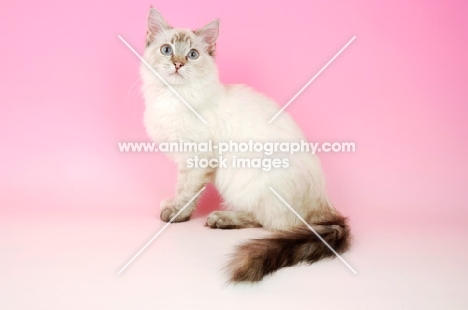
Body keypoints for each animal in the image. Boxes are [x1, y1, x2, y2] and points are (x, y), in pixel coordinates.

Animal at [140, 8, 352, 282]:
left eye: (192, 54)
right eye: (167, 50)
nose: (178, 63)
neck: (174, 97)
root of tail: (324, 202)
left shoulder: (196, 158)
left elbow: (186, 191)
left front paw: (177, 212)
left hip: (246, 180)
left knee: (274, 222)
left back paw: (221, 219)